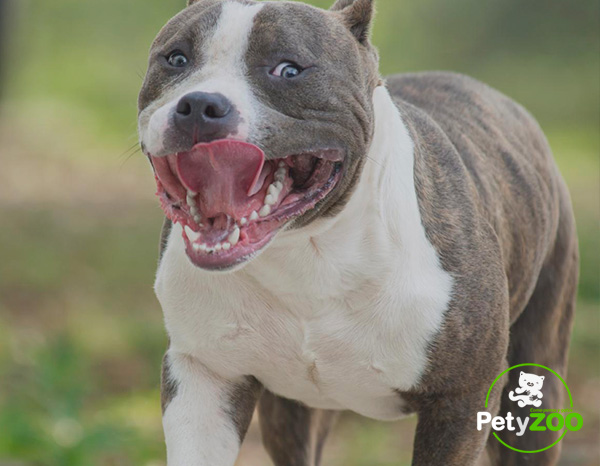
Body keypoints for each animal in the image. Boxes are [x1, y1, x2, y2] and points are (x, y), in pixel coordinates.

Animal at [138, 1, 580, 464]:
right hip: (293, 412)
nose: (200, 104)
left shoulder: (461, 400)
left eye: (289, 70)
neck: (309, 251)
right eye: (176, 59)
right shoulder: (206, 375)